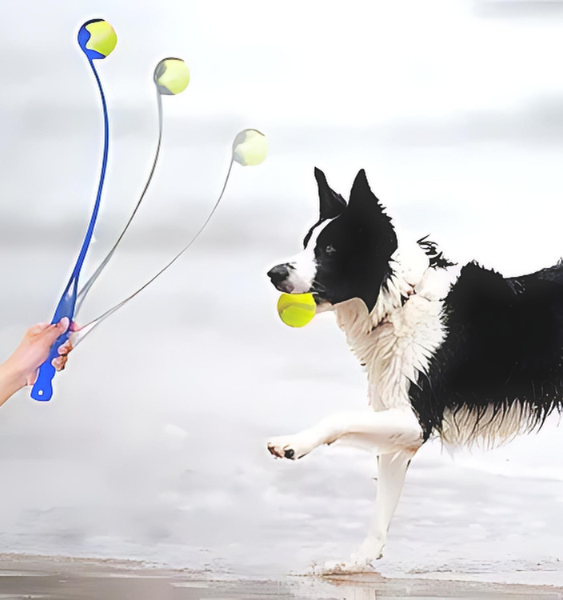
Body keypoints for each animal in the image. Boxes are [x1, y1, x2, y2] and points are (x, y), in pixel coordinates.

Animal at [266, 166, 563, 568]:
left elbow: (338, 417)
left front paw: (293, 443)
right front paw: (355, 564)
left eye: (329, 249)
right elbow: (382, 508)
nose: (273, 273)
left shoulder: (417, 416)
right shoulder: (400, 426)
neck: (399, 300)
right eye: (306, 243)